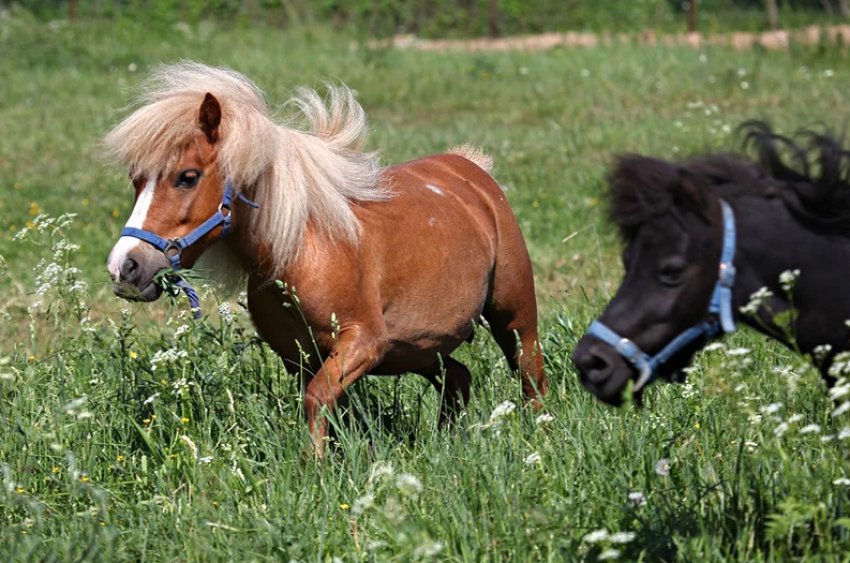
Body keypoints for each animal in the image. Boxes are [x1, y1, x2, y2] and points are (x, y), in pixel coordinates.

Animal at [104, 64, 544, 456]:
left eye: (188, 176)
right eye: (136, 180)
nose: (125, 267)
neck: (302, 250)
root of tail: (471, 170)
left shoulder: (363, 343)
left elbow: (317, 401)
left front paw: (316, 469)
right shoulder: (299, 358)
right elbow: (329, 408)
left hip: (512, 318)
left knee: (531, 376)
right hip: (418, 349)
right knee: (458, 378)